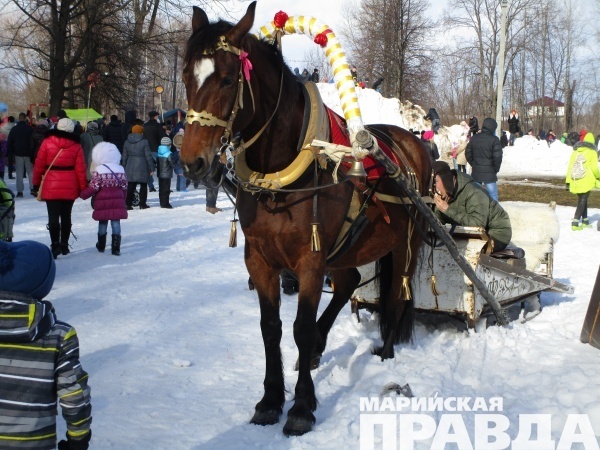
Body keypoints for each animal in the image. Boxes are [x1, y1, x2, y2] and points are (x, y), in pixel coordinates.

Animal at [180, 2, 432, 436]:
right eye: (185, 76)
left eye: (228, 79)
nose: (192, 161)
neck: (280, 173)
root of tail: (413, 143)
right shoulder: (260, 259)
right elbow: (271, 328)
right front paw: (270, 399)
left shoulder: (310, 260)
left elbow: (298, 327)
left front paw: (300, 406)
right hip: (349, 248)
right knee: (347, 283)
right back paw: (317, 350)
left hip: (406, 244)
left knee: (396, 294)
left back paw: (384, 350)